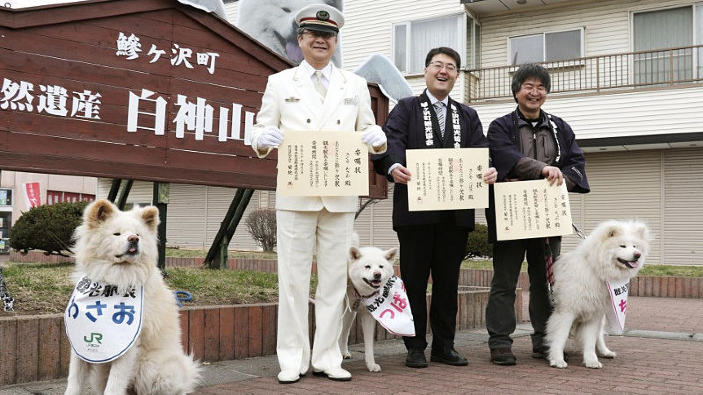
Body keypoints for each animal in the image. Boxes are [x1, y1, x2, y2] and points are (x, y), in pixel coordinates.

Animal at [65, 201, 199, 395]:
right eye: (117, 234)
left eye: (138, 234)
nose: (134, 239)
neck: (115, 279)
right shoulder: (80, 341)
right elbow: (74, 378)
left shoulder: (128, 345)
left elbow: (115, 383)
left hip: (152, 369)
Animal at [340, 235, 398, 374]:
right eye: (367, 266)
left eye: (381, 267)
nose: (377, 274)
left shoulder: (367, 316)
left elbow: (369, 344)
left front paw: (371, 364)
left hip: (350, 314)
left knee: (345, 332)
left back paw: (344, 352)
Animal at [548, 221, 652, 370]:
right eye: (622, 246)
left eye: (635, 246)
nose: (637, 255)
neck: (595, 270)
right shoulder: (566, 312)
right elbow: (560, 337)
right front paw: (557, 360)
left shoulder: (594, 313)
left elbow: (590, 341)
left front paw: (591, 361)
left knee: (599, 336)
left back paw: (605, 352)